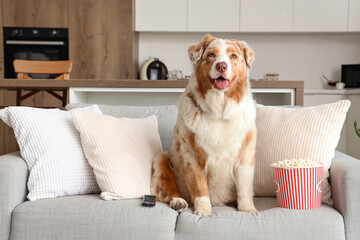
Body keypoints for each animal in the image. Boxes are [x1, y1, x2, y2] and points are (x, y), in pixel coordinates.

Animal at [150, 33, 258, 216]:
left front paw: (247, 209)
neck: (220, 113)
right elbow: (199, 187)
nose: (221, 66)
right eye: (211, 55)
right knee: (167, 189)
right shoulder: (191, 154)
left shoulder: (245, 154)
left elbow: (244, 187)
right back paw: (178, 202)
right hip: (161, 158)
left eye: (233, 56)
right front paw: (203, 211)